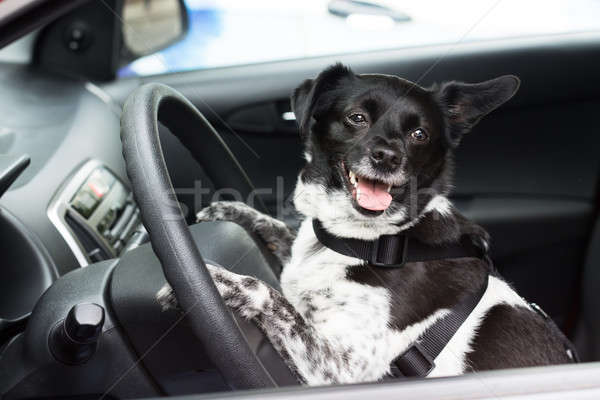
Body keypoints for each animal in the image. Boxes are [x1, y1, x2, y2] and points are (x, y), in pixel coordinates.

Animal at [158, 63, 576, 384]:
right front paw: (229, 210)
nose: (387, 157)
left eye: (419, 134)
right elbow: (283, 230)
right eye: (356, 118)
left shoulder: (339, 368)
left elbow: (267, 293)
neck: (379, 241)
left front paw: (212, 281)